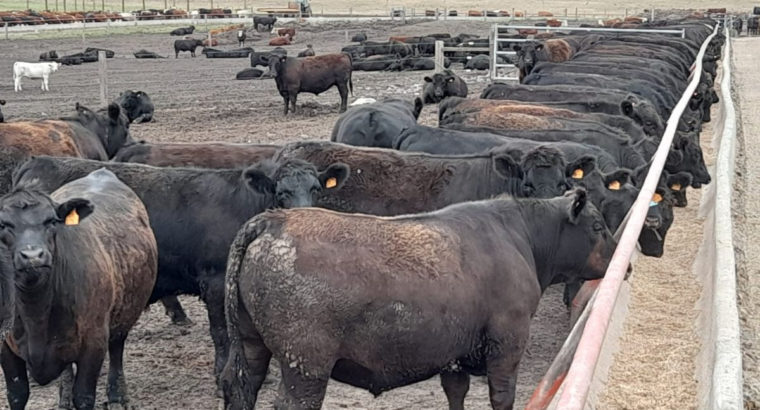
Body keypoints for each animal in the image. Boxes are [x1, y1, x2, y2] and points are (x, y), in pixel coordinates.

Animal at [0, 167, 157, 410]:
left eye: (51, 221)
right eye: (4, 224)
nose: (33, 256)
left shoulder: (94, 342)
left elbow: (84, 396)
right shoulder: (5, 347)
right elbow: (17, 394)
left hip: (124, 315)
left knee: (117, 349)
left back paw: (117, 396)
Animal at [12, 155, 350, 390]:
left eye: (315, 188)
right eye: (281, 192)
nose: (303, 217)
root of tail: (35, 163)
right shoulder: (215, 279)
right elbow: (221, 332)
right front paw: (222, 374)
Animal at [221, 188, 616, 410]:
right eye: (598, 226)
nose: (619, 262)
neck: (519, 237)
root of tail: (272, 221)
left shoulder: (454, 355)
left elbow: (456, 392)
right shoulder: (508, 342)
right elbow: (501, 396)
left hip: (252, 347)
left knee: (239, 389)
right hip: (305, 365)